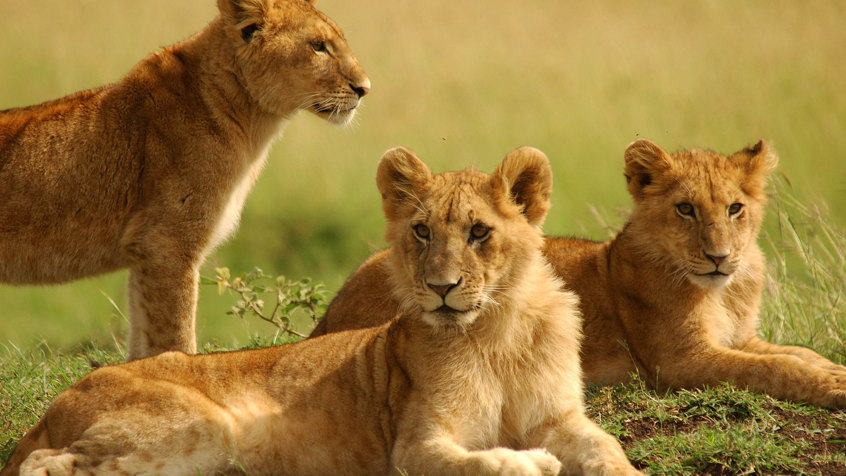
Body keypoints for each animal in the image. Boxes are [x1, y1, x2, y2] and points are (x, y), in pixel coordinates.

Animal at [0, 0, 369, 361]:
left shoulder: (142, 252)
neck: (249, 118)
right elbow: (175, 333)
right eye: (318, 46)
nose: (365, 89)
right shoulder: (167, 243)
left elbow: (142, 339)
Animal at [0, 147, 640, 476]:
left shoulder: (560, 418)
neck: (497, 330)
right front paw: (524, 462)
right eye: (422, 231)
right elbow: (477, 463)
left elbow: (607, 448)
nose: (441, 288)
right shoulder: (415, 446)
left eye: (479, 232)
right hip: (203, 427)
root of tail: (61, 399)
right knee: (42, 466)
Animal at [312, 139, 846, 409]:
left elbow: (796, 354)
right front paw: (834, 386)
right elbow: (773, 368)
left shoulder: (741, 337)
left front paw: (831, 369)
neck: (724, 291)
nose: (719, 257)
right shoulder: (679, 362)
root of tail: (327, 316)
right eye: (686, 209)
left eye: (735, 209)